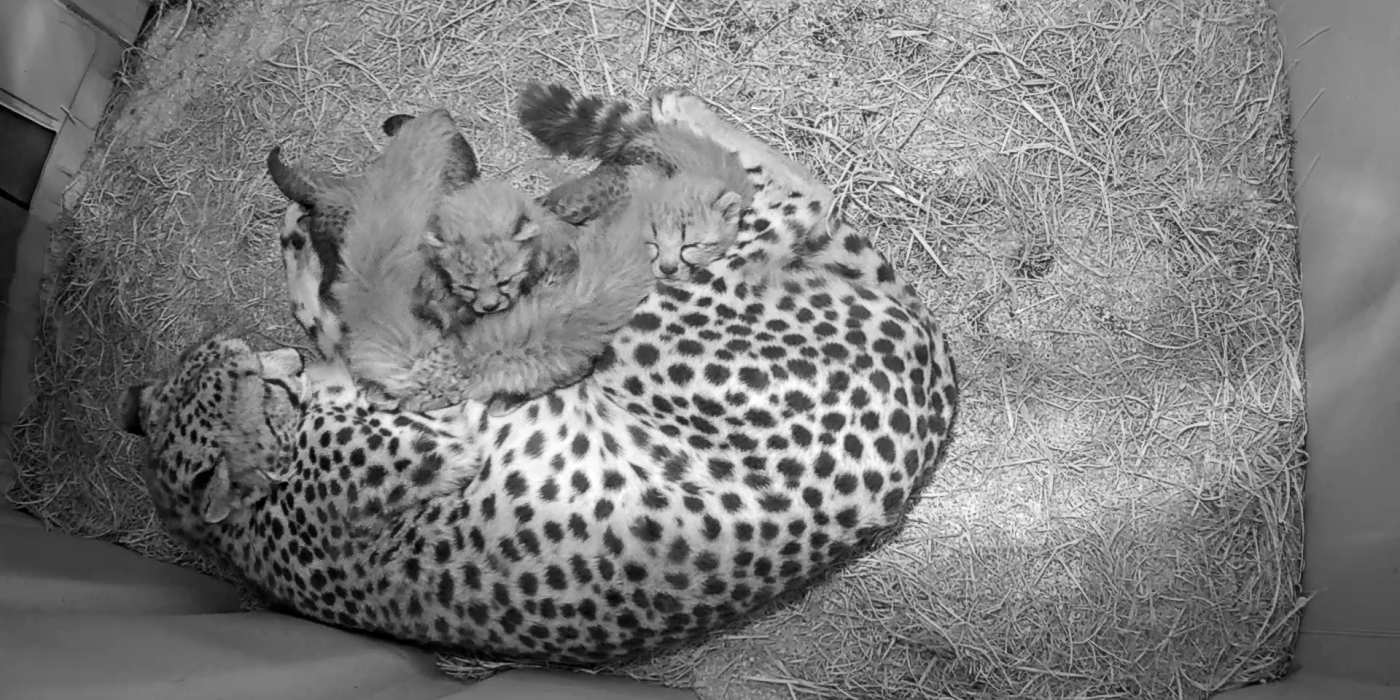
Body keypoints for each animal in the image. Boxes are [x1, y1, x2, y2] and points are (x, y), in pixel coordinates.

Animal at [120, 86, 957, 660]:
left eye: (227, 366)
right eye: (241, 382)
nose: (265, 359)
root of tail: (933, 370)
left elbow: (335, 312)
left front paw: (305, 237)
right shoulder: (439, 403)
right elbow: (354, 319)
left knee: (786, 193)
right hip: (656, 289)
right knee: (770, 204)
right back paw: (659, 136)